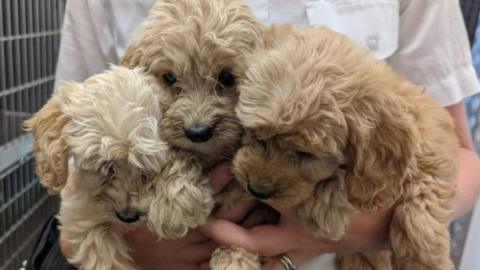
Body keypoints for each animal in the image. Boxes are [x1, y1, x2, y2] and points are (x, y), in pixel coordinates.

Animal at [232, 24, 458, 268]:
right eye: (254, 134)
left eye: (304, 153)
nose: (257, 190)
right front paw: (328, 205)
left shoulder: (435, 142)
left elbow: (423, 197)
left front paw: (424, 260)